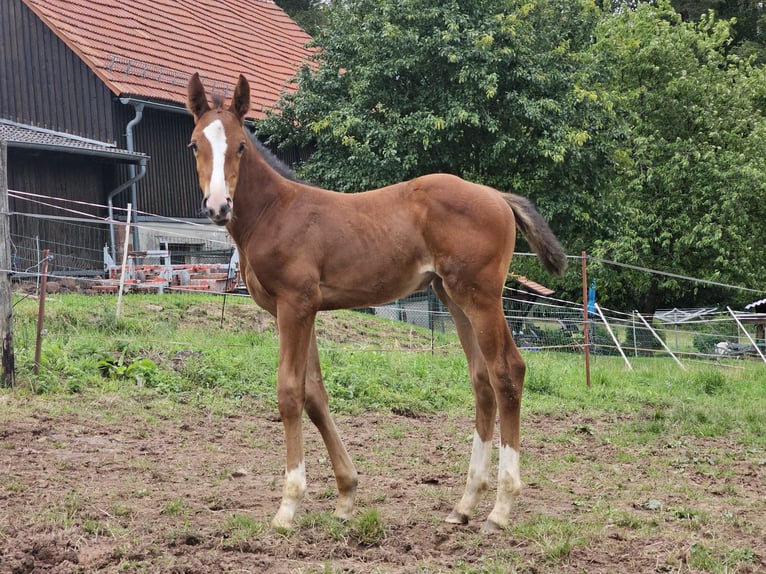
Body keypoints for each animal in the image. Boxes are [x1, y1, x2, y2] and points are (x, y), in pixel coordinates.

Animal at [188, 74, 568, 532]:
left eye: (241, 145)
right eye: (195, 144)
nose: (217, 206)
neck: (275, 213)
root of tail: (496, 195)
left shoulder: (295, 305)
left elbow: (290, 392)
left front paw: (288, 506)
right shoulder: (303, 310)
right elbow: (315, 395)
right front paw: (346, 496)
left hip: (482, 296)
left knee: (507, 372)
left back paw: (500, 509)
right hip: (453, 296)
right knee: (482, 381)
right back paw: (464, 505)